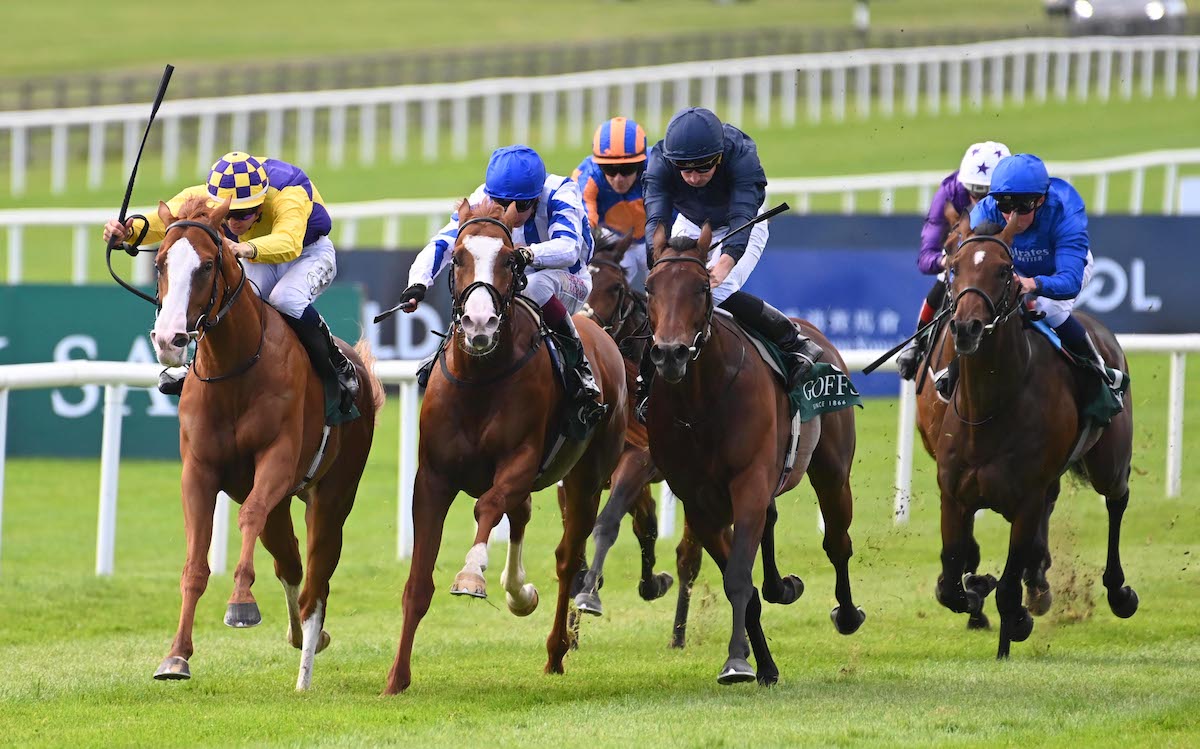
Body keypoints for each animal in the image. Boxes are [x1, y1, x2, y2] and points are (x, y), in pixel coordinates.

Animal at [149, 194, 381, 691]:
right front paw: (176, 656)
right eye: (160, 263)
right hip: (282, 502)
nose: (169, 339)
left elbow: (249, 517)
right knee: (290, 563)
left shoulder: (276, 459)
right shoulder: (199, 471)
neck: (234, 369)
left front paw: (240, 603)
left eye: (208, 264)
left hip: (333, 494)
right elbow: (195, 564)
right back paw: (304, 637)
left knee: (316, 577)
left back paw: (306, 663)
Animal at [384, 200, 628, 696]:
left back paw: (555, 649)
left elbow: (487, 508)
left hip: (586, 478)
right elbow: (418, 584)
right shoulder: (433, 478)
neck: (480, 377)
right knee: (521, 516)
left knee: (567, 558)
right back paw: (520, 593)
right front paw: (396, 678)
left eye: (511, 259)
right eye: (458, 257)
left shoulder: (519, 462)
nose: (479, 323)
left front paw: (471, 574)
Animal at [638, 223, 864, 686]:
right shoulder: (700, 503)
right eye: (650, 288)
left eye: (703, 288)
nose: (669, 353)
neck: (699, 403)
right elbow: (741, 581)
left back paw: (847, 614)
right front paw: (762, 665)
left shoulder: (748, 481)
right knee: (773, 521)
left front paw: (737, 661)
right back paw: (784, 587)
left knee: (837, 541)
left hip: (832, 470)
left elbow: (740, 578)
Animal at [921, 214, 1137, 652]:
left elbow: (1006, 587)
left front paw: (1014, 621)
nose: (966, 327)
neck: (989, 408)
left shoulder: (1026, 499)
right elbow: (950, 584)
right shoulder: (953, 495)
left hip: (1108, 462)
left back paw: (1118, 591)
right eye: (954, 266)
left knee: (1117, 499)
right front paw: (977, 590)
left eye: (1004, 270)